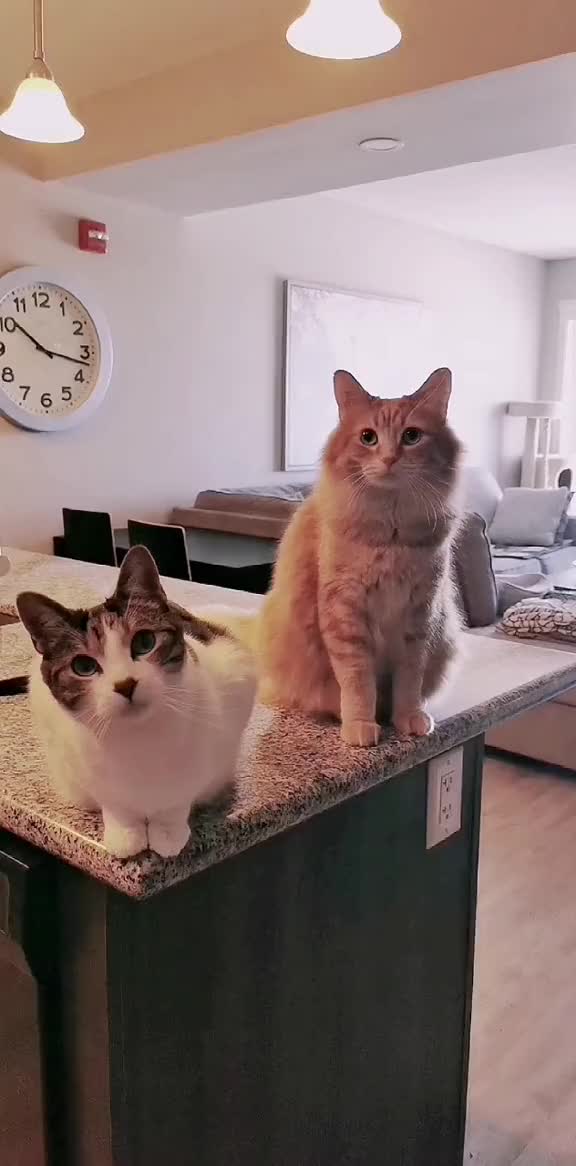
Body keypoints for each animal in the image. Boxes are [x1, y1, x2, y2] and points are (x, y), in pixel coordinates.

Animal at [16, 546, 256, 859]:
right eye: (83, 666)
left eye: (144, 642)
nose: (125, 684)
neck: (140, 740)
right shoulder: (79, 758)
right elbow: (115, 803)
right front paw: (126, 833)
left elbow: (178, 796)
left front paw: (167, 832)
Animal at [259, 367, 463, 747]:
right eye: (368, 438)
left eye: (412, 436)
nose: (389, 459)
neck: (391, 534)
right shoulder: (346, 612)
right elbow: (357, 683)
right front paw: (360, 725)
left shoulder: (420, 617)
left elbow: (409, 683)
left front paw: (407, 719)